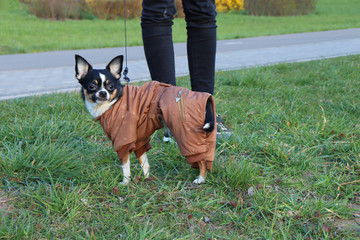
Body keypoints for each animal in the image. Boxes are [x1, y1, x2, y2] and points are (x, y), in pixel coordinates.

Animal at [74, 54, 215, 184]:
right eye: (92, 86)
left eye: (110, 87)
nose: (103, 93)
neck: (115, 101)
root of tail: (206, 100)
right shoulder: (139, 140)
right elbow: (144, 162)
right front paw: (146, 178)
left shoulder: (123, 140)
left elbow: (125, 166)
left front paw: (126, 182)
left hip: (186, 135)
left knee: (201, 160)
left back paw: (201, 179)